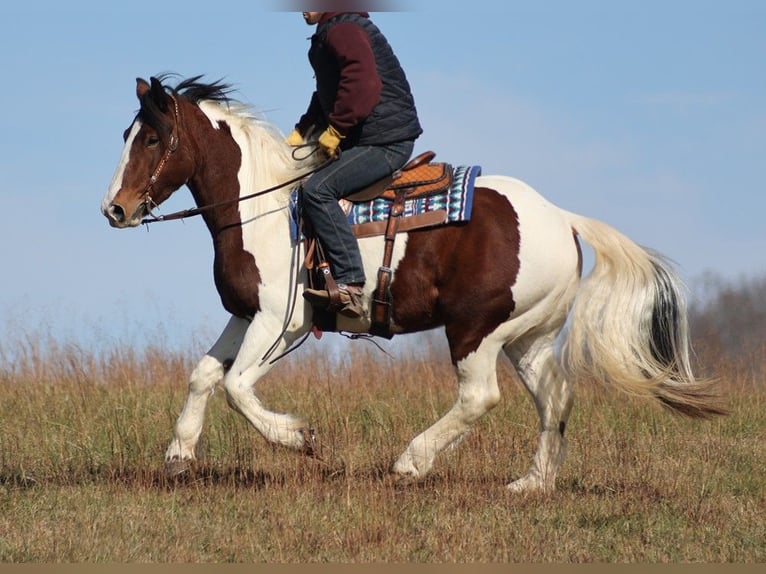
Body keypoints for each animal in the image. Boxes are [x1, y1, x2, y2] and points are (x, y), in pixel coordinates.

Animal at [99, 76, 724, 496]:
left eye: (151, 139)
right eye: (126, 134)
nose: (115, 209)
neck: (267, 211)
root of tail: (563, 219)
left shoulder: (285, 320)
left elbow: (237, 387)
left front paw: (301, 439)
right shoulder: (245, 314)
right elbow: (204, 375)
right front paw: (179, 454)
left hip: (476, 329)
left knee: (479, 397)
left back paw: (411, 462)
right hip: (527, 336)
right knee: (555, 396)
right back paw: (531, 483)